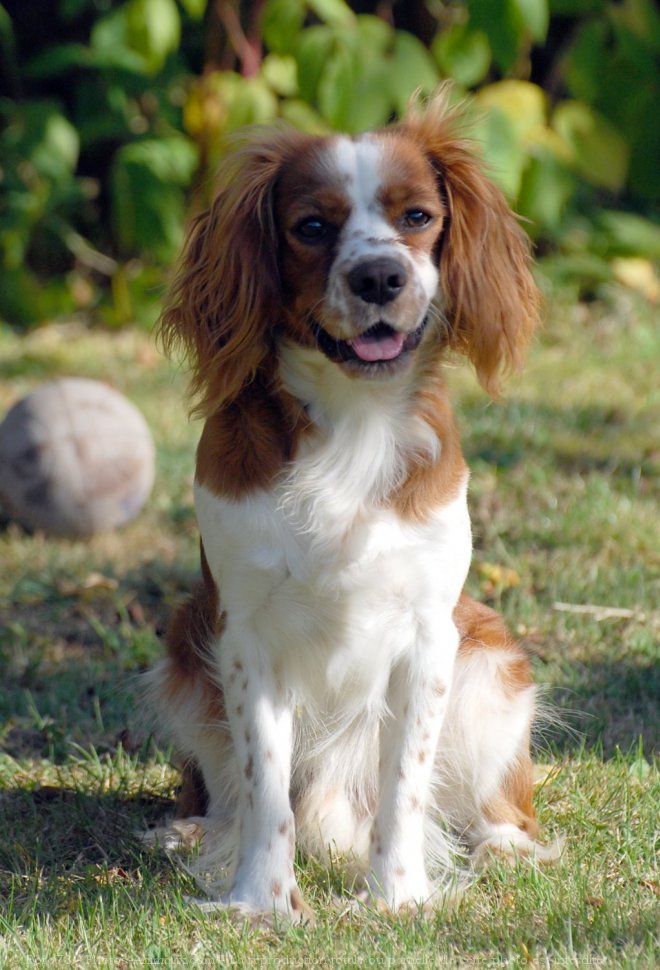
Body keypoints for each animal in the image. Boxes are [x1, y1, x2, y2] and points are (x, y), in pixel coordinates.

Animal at [147, 87, 560, 920]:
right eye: (311, 227)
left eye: (418, 217)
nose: (378, 278)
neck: (352, 421)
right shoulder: (243, 636)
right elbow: (265, 783)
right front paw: (263, 902)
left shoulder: (430, 635)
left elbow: (405, 783)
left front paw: (398, 897)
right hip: (183, 647)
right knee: (234, 792)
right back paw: (195, 829)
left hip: (492, 662)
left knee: (493, 800)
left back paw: (505, 844)